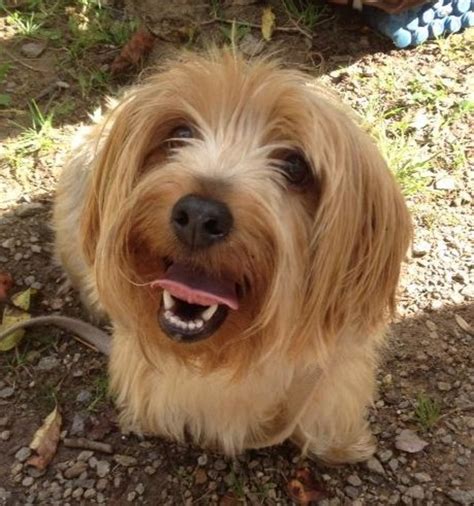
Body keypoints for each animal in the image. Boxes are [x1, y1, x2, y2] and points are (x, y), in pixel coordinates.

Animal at [52, 50, 412, 462]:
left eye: (295, 166)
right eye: (180, 134)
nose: (199, 215)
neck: (235, 351)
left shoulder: (333, 373)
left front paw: (340, 446)